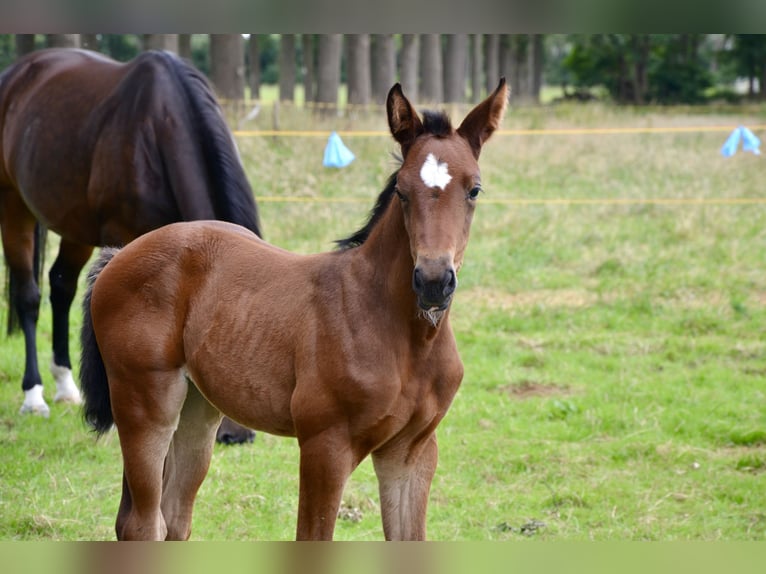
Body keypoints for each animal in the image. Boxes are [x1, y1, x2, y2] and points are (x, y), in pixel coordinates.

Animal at [0, 49, 260, 446]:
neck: (157, 132)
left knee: (61, 287)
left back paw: (66, 387)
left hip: (75, 226)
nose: (237, 434)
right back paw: (35, 396)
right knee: (29, 295)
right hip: (13, 205)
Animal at [82, 79, 510, 544]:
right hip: (145, 403)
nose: (433, 281)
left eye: (474, 189)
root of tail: (121, 253)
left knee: (174, 518)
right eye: (401, 190)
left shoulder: (412, 452)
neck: (405, 339)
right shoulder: (324, 445)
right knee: (143, 524)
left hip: (198, 410)